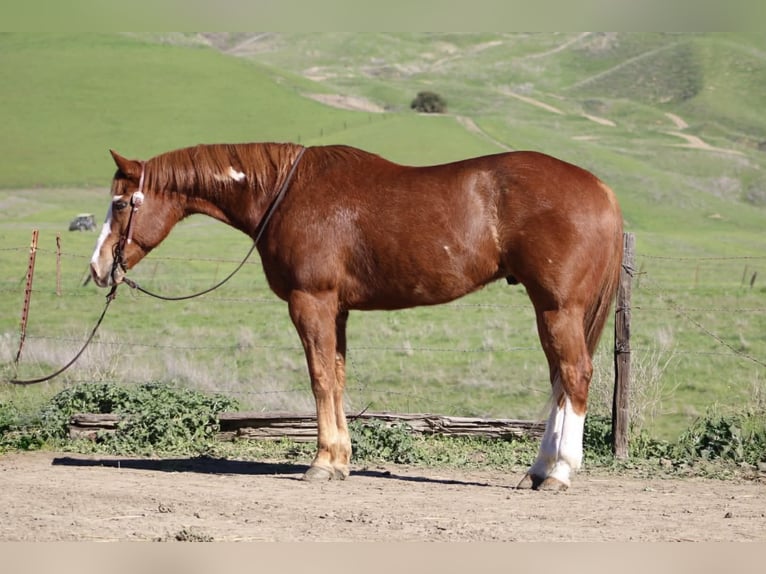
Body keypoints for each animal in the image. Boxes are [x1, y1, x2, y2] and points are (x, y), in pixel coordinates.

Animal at [90, 142, 623, 490]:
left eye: (119, 203)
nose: (97, 268)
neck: (285, 193)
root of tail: (601, 188)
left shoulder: (312, 302)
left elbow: (320, 378)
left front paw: (323, 462)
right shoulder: (338, 310)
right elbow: (338, 377)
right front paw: (341, 459)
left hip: (557, 308)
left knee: (574, 375)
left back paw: (559, 472)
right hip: (550, 310)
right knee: (559, 380)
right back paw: (538, 470)